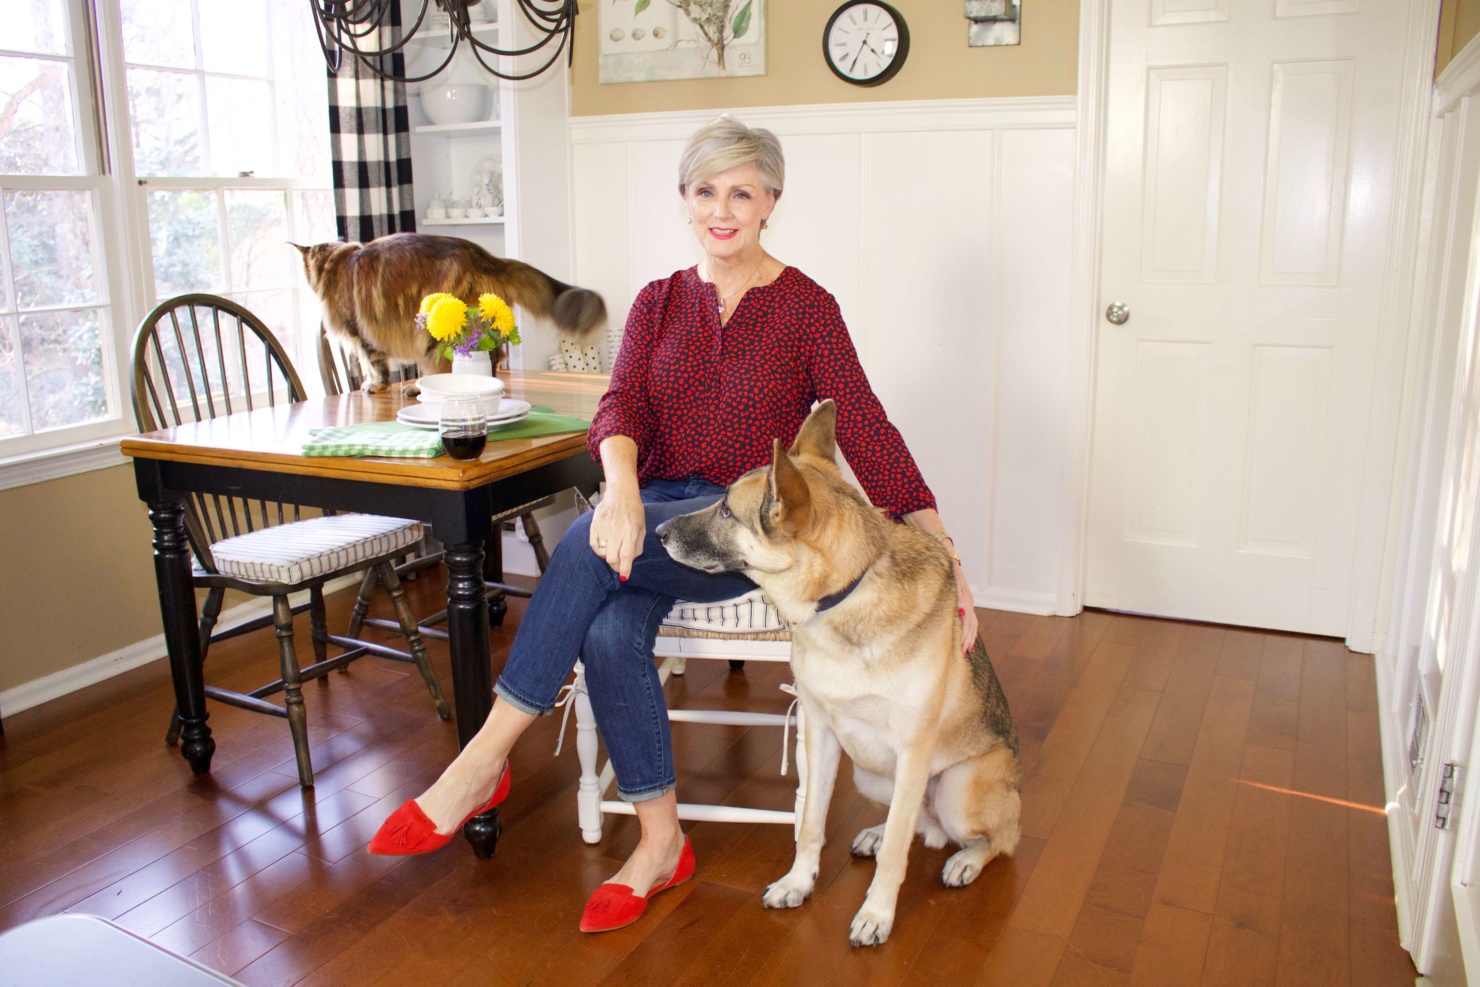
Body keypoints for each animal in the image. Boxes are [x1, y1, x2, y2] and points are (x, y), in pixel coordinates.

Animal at [294, 233, 606, 390]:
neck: (337, 260)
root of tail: (484, 256)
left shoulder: (360, 332)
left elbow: (375, 365)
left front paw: (374, 385)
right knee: (495, 356)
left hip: (437, 333)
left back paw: (417, 388)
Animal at [657, 402, 1018, 947]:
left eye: (725, 510)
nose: (656, 533)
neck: (845, 593)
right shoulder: (820, 731)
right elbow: (810, 822)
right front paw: (798, 882)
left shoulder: (913, 750)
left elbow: (897, 852)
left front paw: (877, 914)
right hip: (872, 773)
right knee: (912, 820)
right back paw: (878, 833)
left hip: (956, 787)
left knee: (991, 838)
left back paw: (965, 860)